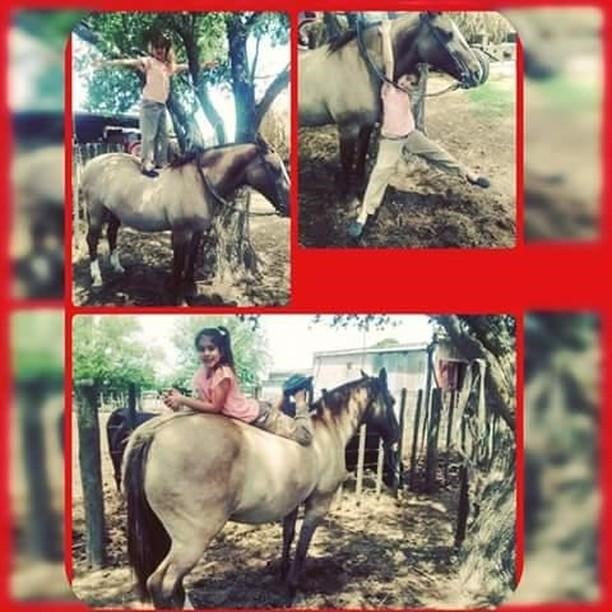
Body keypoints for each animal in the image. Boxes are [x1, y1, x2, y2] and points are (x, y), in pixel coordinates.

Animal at [80, 139, 290, 302]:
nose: (287, 207)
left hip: (114, 212)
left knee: (112, 233)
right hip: (96, 210)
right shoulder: (181, 232)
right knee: (92, 239)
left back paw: (118, 267)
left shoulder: (197, 231)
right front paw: (177, 296)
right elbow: (179, 263)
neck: (199, 183)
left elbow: (191, 259)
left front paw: (190, 289)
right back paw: (97, 279)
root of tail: (93, 163)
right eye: (273, 168)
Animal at [123, 368, 402, 608]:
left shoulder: (293, 504)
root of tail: (156, 433)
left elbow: (289, 537)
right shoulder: (318, 504)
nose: (397, 436)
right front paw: (291, 588)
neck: (325, 431)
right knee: (161, 583)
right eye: (392, 400)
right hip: (191, 542)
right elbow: (303, 545)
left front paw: (282, 574)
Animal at [298, 12, 488, 194]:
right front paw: (345, 195)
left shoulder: (366, 125)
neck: (361, 66)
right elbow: (346, 163)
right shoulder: (347, 128)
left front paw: (359, 186)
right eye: (446, 33)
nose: (476, 72)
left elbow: (361, 157)